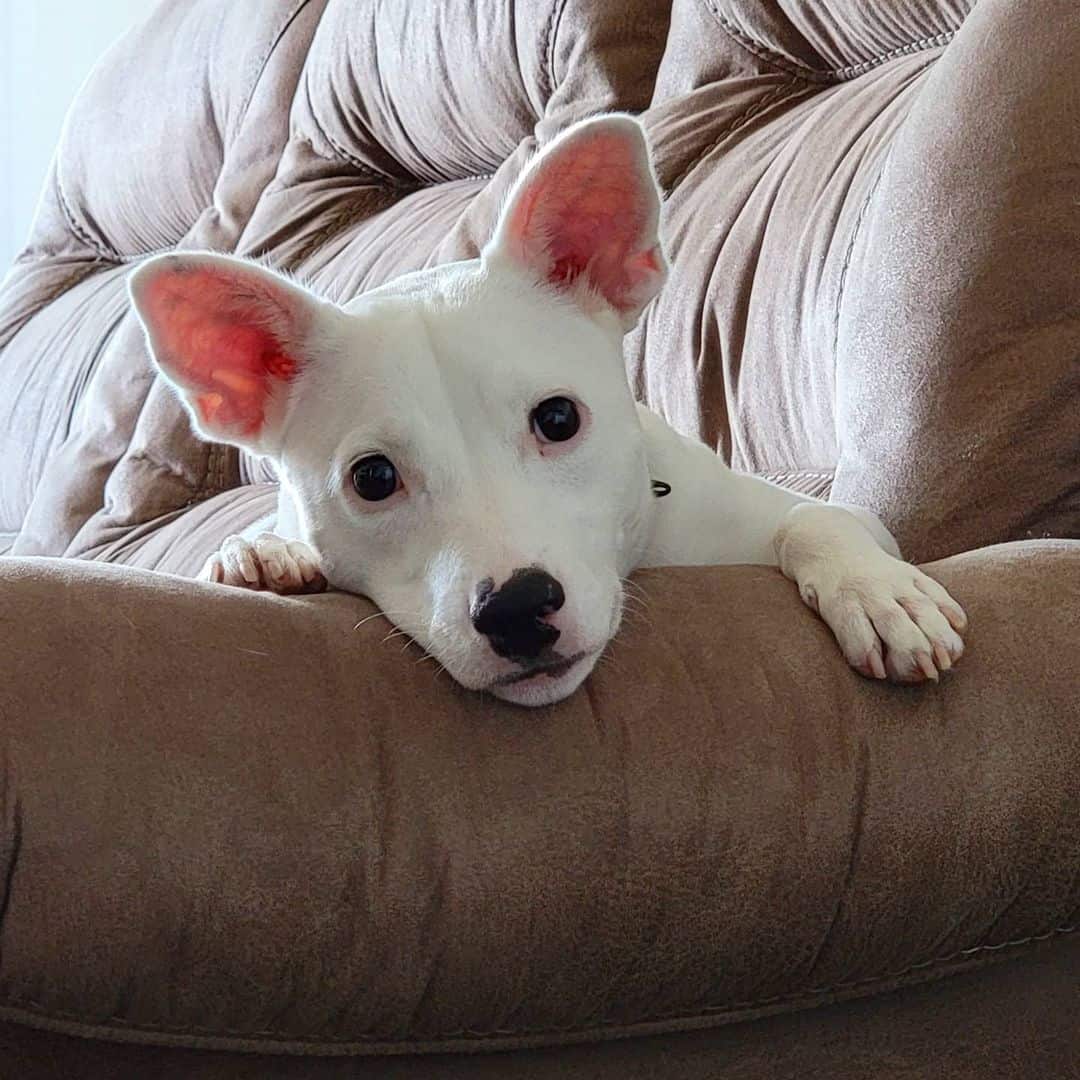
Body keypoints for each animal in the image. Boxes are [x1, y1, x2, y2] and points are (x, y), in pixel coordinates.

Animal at [130, 113, 967, 704]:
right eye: (372, 479)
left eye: (559, 419)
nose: (517, 608)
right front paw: (261, 550)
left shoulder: (796, 514)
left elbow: (819, 519)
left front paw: (878, 590)